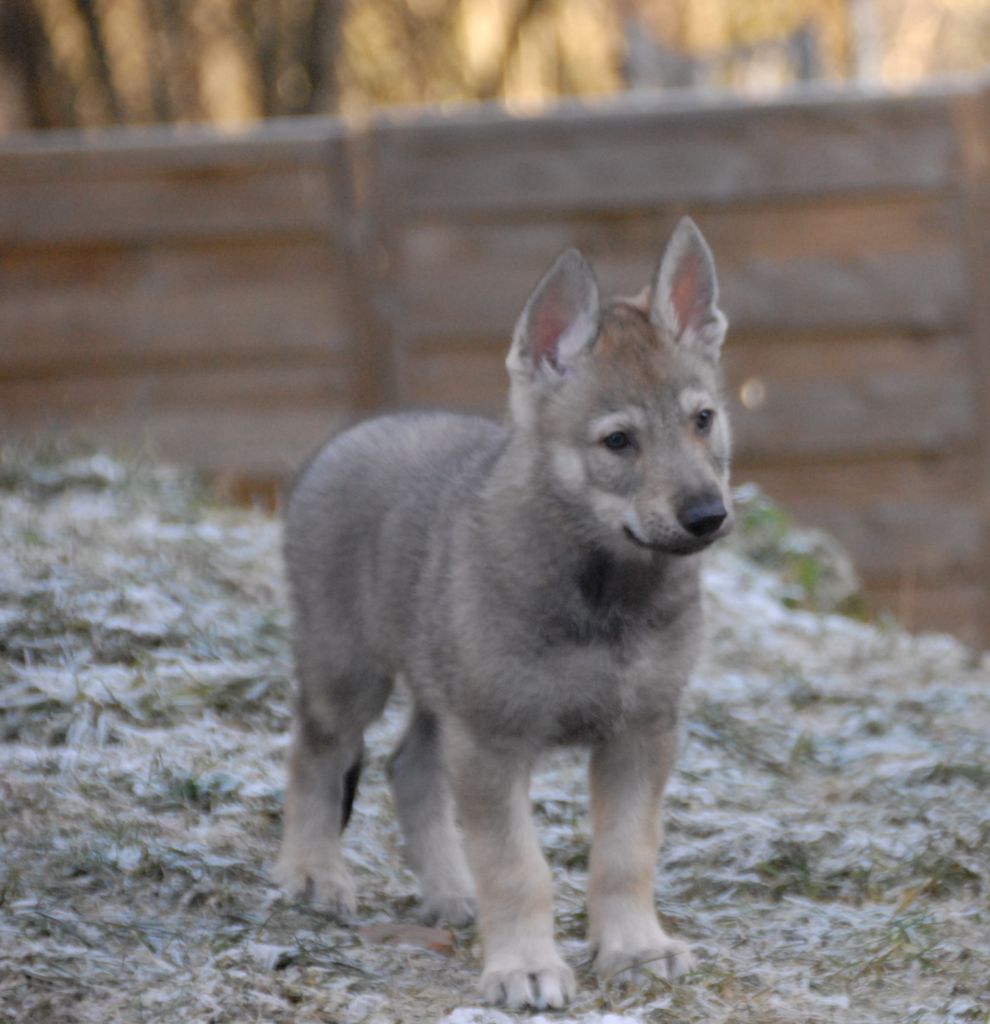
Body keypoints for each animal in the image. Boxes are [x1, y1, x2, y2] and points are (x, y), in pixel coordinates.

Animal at [274, 216, 733, 1007]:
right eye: (618, 442)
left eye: (702, 420)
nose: (708, 515)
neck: (603, 594)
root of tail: (348, 437)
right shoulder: (493, 741)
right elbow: (519, 868)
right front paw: (524, 967)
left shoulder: (642, 732)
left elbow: (626, 854)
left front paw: (635, 949)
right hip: (349, 672)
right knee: (316, 754)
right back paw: (312, 874)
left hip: (440, 692)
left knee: (408, 769)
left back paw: (450, 893)